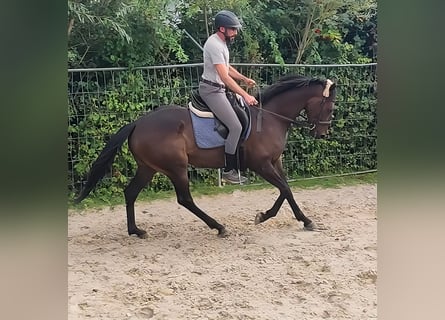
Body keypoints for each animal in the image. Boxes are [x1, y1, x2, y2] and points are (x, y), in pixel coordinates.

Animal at [74, 74, 334, 238]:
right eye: (330, 108)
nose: (321, 134)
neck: (270, 117)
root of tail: (139, 123)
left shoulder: (274, 162)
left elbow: (285, 189)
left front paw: (277, 217)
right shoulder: (261, 165)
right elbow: (285, 188)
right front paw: (296, 219)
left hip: (149, 167)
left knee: (130, 192)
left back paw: (135, 231)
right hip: (176, 167)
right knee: (185, 199)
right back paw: (218, 227)